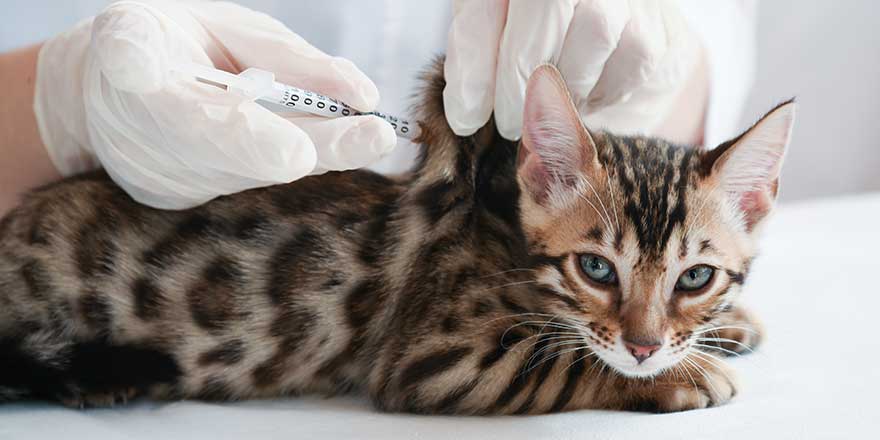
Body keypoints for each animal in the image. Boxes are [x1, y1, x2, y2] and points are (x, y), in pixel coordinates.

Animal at [0, 58, 796, 412]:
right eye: (597, 269)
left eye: (696, 277)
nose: (644, 346)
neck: (506, 238)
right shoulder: (437, 357)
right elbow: (566, 361)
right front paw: (685, 375)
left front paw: (730, 327)